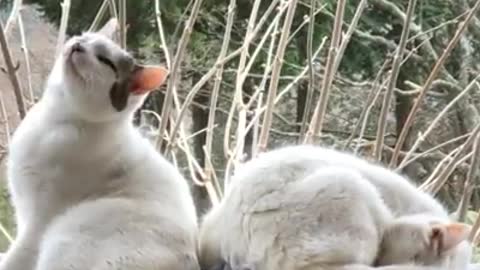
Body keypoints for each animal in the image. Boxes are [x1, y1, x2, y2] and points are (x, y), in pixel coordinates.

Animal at [0, 19, 199, 270]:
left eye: (105, 61)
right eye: (83, 37)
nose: (78, 45)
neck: (54, 118)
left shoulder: (38, 222)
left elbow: (16, 257)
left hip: (67, 233)